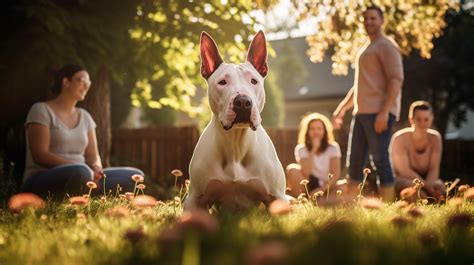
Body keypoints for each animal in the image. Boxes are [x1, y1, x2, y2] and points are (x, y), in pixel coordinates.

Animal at [184, 30, 286, 208]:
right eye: (222, 82)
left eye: (254, 81)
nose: (243, 102)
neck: (235, 144)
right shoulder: (195, 200)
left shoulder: (277, 197)